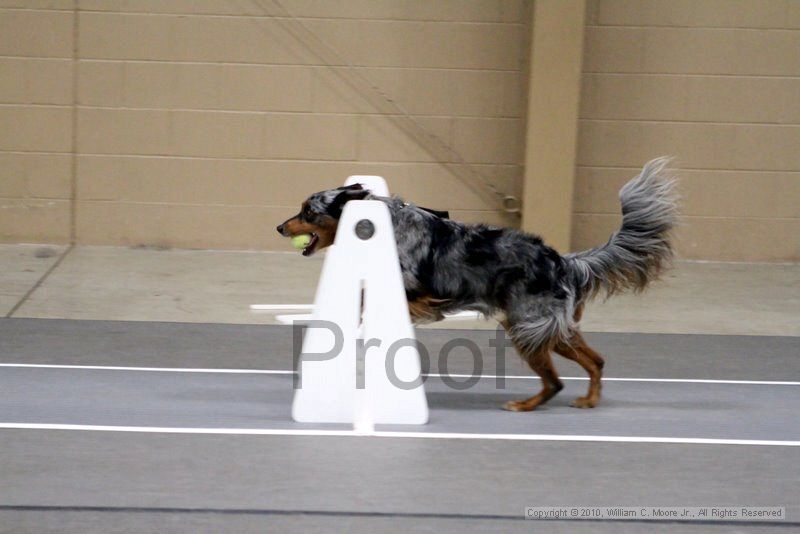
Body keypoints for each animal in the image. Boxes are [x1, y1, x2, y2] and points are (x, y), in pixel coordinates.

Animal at [278, 157, 680, 412]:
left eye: (308, 211)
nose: (280, 227)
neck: (380, 222)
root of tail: (562, 261)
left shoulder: (416, 293)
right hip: (550, 330)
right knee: (595, 361)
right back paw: (589, 400)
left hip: (528, 330)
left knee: (556, 381)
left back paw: (525, 405)